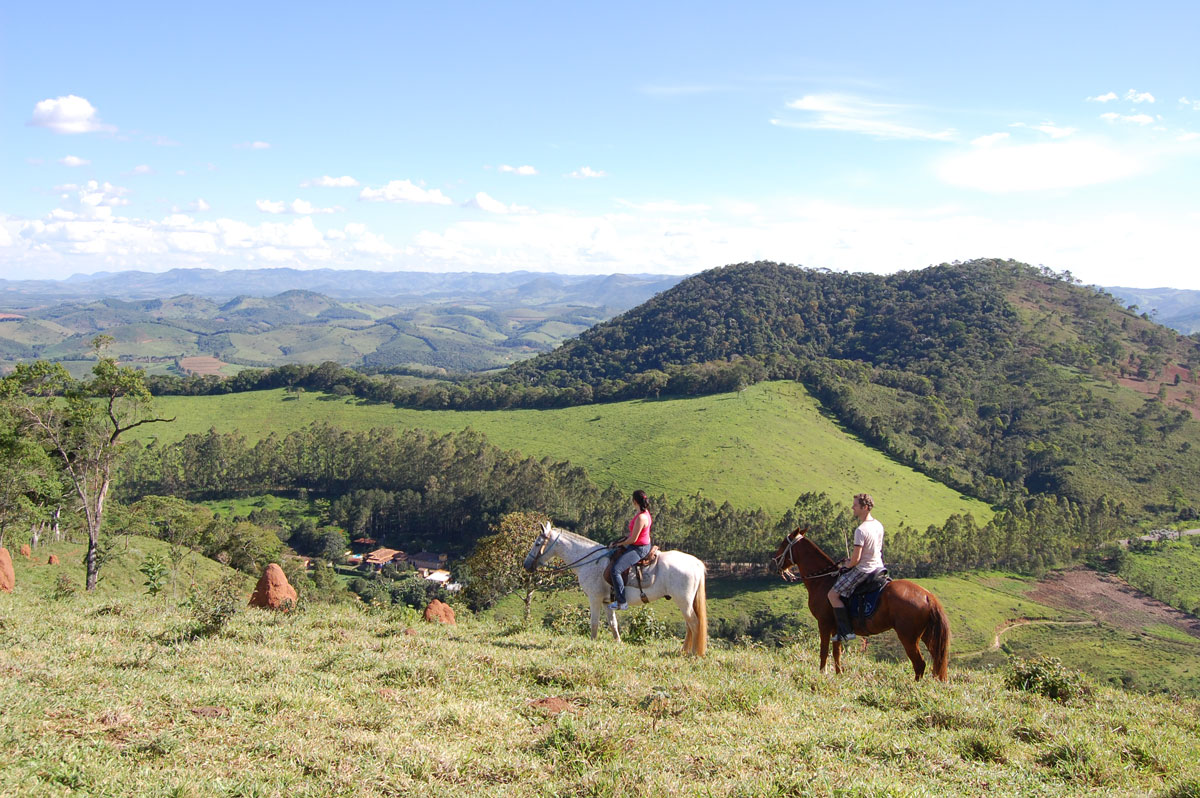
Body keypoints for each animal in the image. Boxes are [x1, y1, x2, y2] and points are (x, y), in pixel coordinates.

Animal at [523, 516, 705, 652]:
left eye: (537, 543)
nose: (526, 565)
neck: (590, 561)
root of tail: (696, 563)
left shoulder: (595, 599)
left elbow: (594, 623)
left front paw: (591, 644)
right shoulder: (607, 601)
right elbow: (613, 624)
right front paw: (618, 643)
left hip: (683, 601)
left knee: (694, 623)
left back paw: (692, 653)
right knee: (690, 625)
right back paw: (684, 651)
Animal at [772, 525, 950, 681]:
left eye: (783, 543)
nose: (773, 561)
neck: (823, 581)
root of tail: (927, 596)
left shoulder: (824, 623)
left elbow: (824, 651)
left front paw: (822, 674)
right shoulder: (836, 628)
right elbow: (837, 652)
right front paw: (839, 675)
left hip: (908, 637)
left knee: (920, 664)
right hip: (927, 636)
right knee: (937, 661)